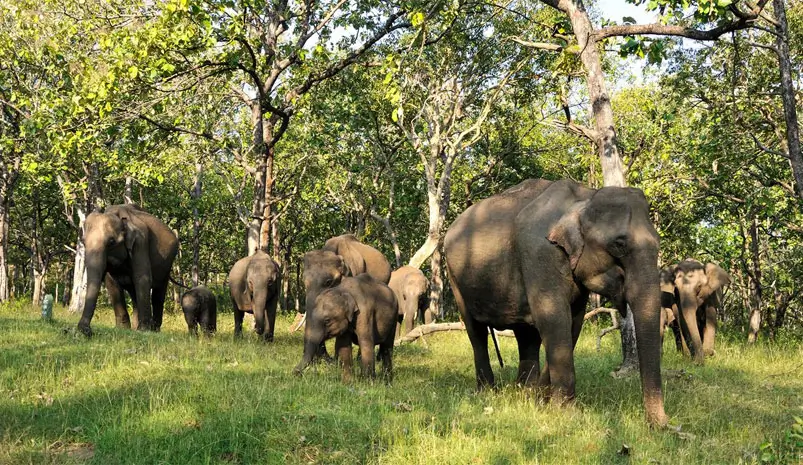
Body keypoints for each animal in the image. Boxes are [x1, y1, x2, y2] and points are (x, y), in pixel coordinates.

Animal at [77, 204, 179, 337]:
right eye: (83, 242)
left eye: (111, 242)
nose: (87, 331)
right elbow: (111, 283)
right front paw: (122, 329)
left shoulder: (140, 243)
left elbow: (142, 279)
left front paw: (144, 331)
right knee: (134, 294)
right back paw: (136, 327)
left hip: (167, 265)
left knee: (158, 294)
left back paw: (154, 329)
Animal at [444, 178, 668, 427]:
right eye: (619, 244)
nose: (662, 425)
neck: (585, 196)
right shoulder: (540, 253)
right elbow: (554, 318)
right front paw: (565, 413)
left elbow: (573, 322)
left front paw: (541, 400)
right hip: (455, 277)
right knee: (476, 332)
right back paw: (487, 392)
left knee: (526, 335)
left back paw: (524, 392)